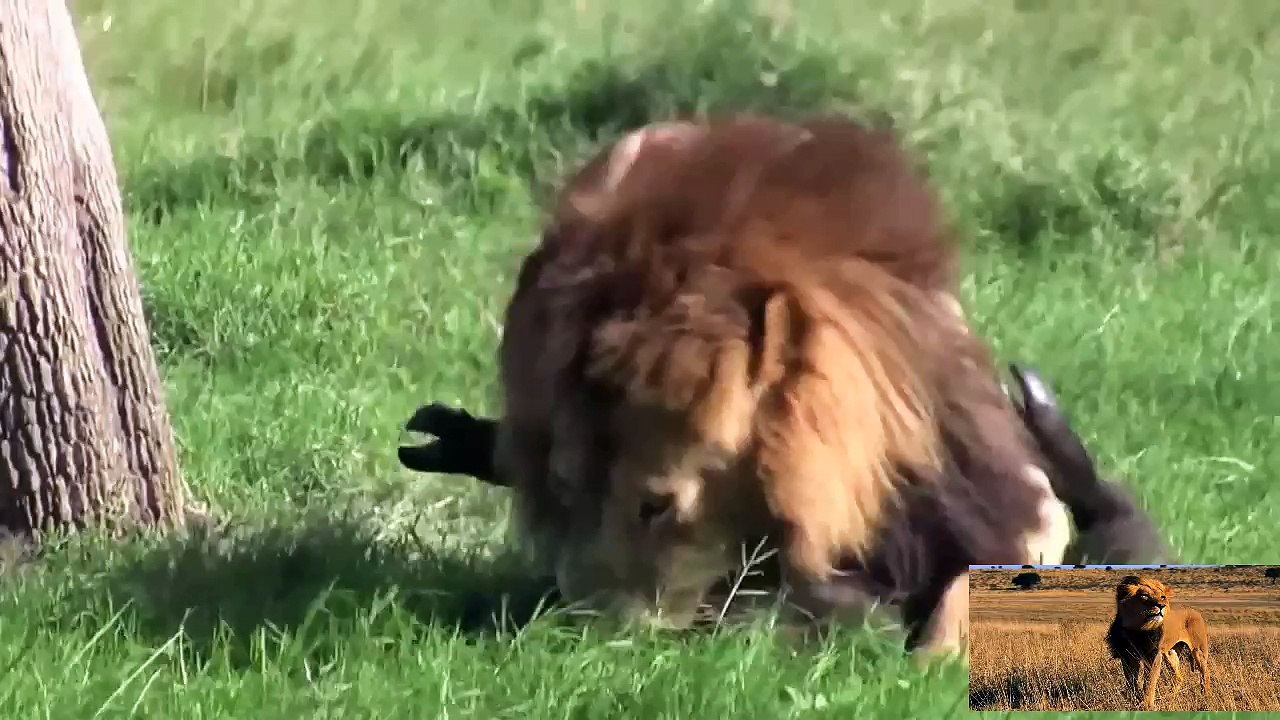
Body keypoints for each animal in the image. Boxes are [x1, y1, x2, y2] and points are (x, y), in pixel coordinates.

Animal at [1106, 575, 1210, 710]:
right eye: (1144, 595)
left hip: (1198, 651)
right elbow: (1131, 682)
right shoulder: (1127, 656)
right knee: (1178, 677)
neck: (1137, 629)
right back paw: (1170, 697)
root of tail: (1194, 611)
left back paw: (1206, 698)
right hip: (1170, 653)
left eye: (1162, 597)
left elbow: (1149, 683)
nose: (1161, 606)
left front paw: (1147, 706)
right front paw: (1135, 700)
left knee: (1205, 674)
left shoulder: (1154, 655)